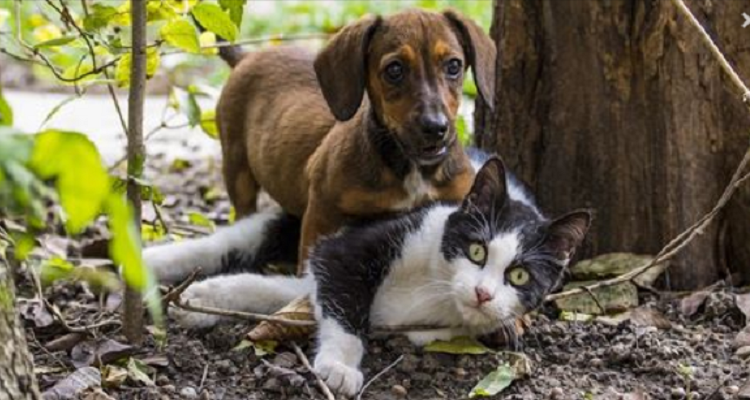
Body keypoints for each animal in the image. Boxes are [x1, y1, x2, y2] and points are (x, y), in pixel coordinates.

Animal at [144, 152, 592, 396]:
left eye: (519, 277)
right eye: (477, 250)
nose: (483, 293)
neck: (437, 286)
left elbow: (287, 291)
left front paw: (205, 298)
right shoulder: (354, 244)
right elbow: (343, 298)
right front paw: (340, 366)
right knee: (233, 239)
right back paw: (149, 262)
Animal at [216, 8, 500, 276]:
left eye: (454, 65)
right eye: (394, 70)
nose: (436, 128)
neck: (411, 168)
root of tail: (247, 57)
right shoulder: (321, 212)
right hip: (237, 168)